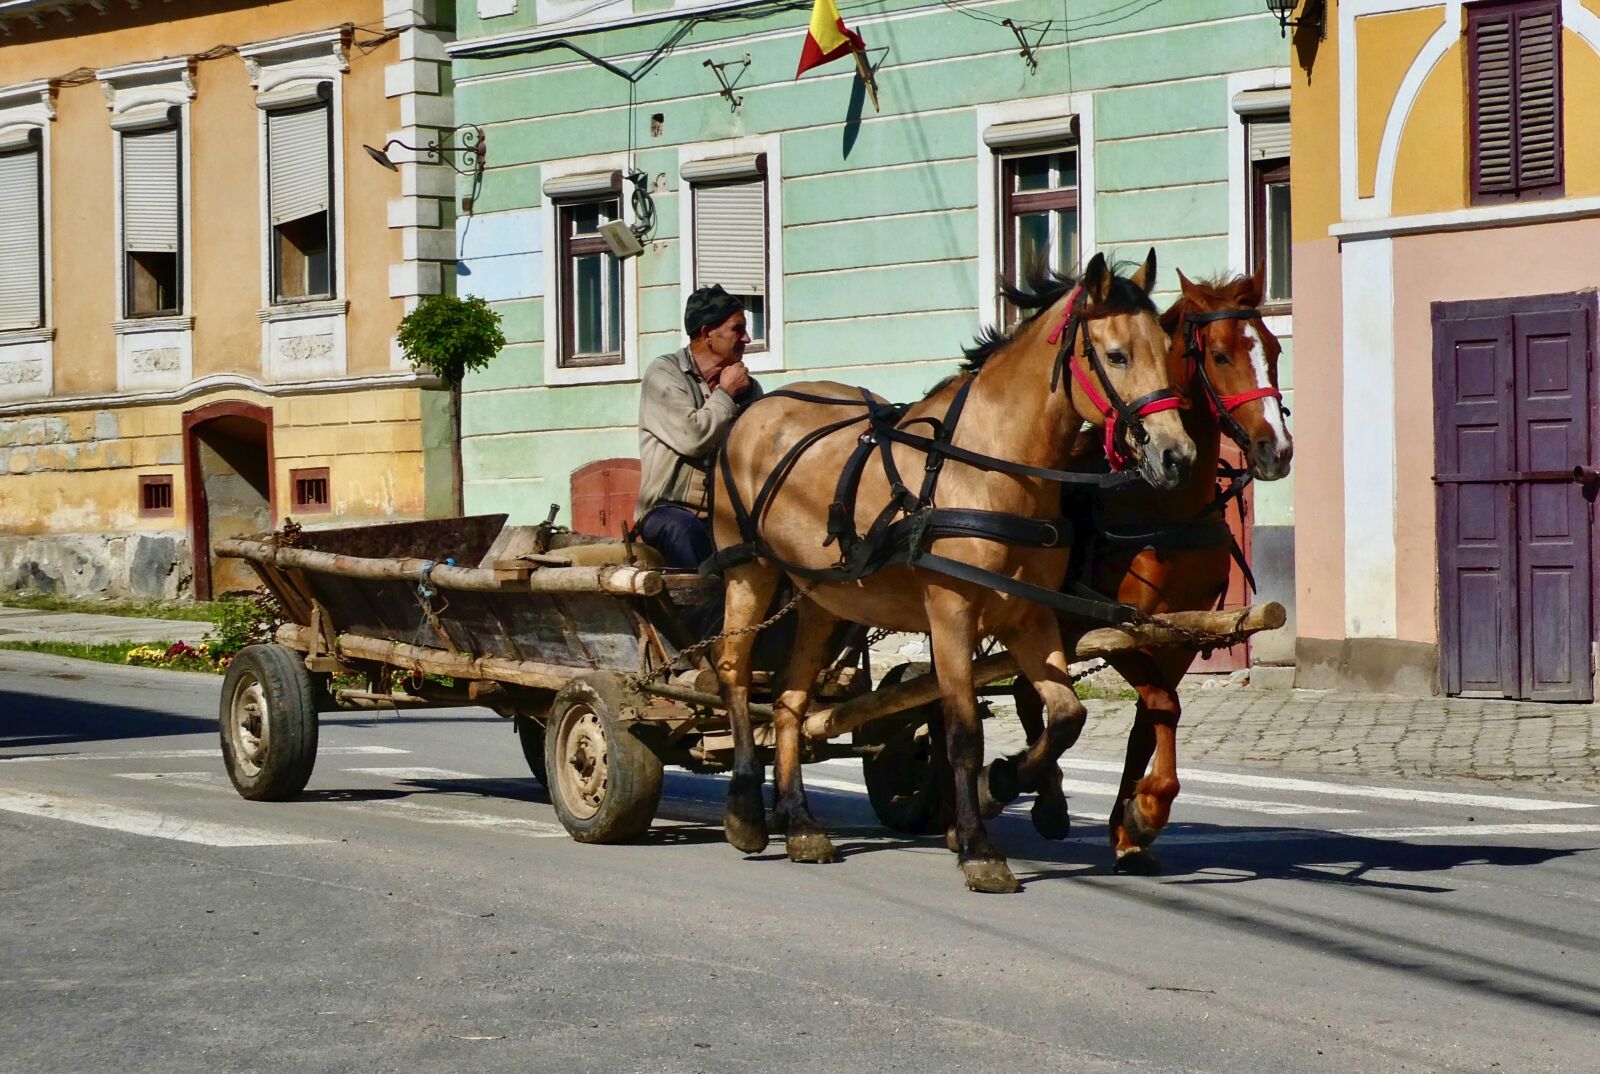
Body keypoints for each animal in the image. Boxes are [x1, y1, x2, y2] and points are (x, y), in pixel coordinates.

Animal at [709, 251, 1196, 893]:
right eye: (1116, 355)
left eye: (1167, 350)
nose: (1177, 457)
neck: (991, 468)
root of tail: (754, 411)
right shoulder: (951, 614)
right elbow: (964, 731)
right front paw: (978, 847)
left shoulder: (1027, 615)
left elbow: (1067, 715)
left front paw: (1006, 782)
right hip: (750, 571)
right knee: (734, 672)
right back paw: (744, 811)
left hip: (821, 597)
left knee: (790, 699)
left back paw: (799, 822)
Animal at [1000, 266, 1294, 873]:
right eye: (1221, 355)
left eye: (1273, 349)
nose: (1276, 451)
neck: (1163, 506)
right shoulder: (1117, 628)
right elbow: (1164, 705)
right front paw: (1150, 807)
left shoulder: (1176, 635)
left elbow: (1149, 721)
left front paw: (1128, 829)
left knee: (1024, 690)